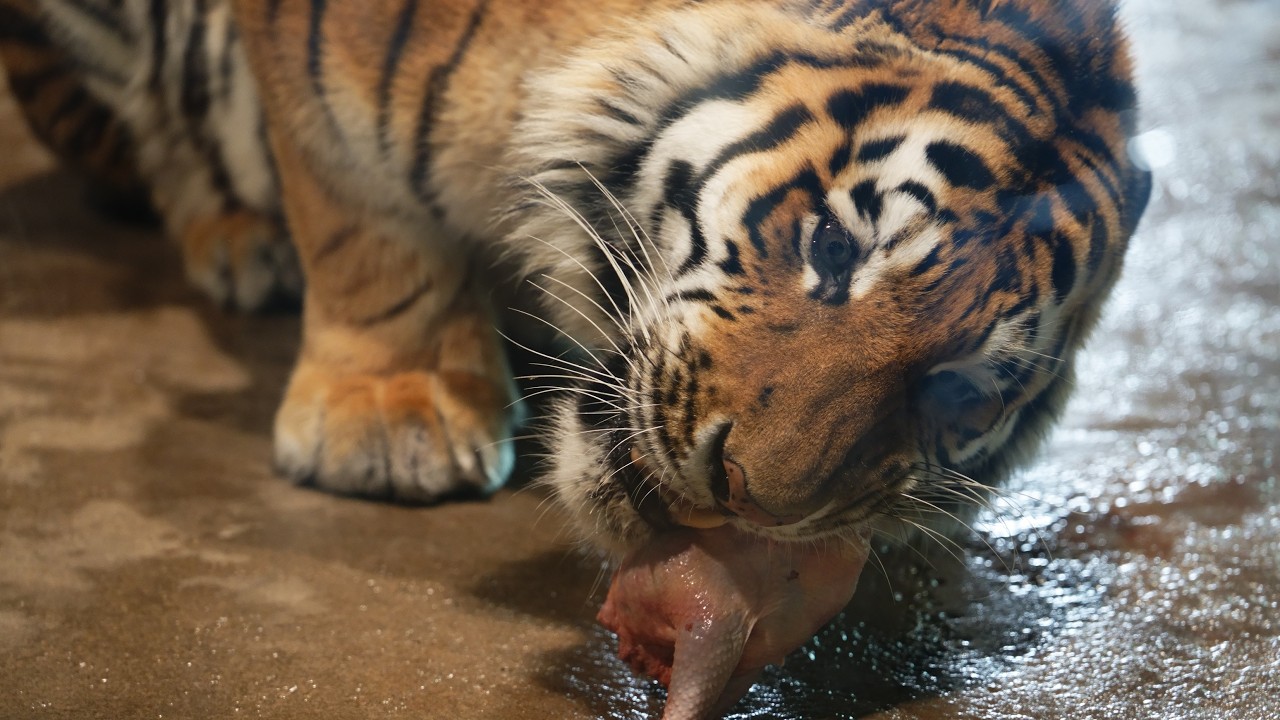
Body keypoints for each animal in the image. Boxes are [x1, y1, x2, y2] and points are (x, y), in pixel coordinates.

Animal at [1, 0, 1150, 703]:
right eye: (833, 247)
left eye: (952, 395)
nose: (746, 492)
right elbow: (363, 215)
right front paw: (390, 412)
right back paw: (243, 237)